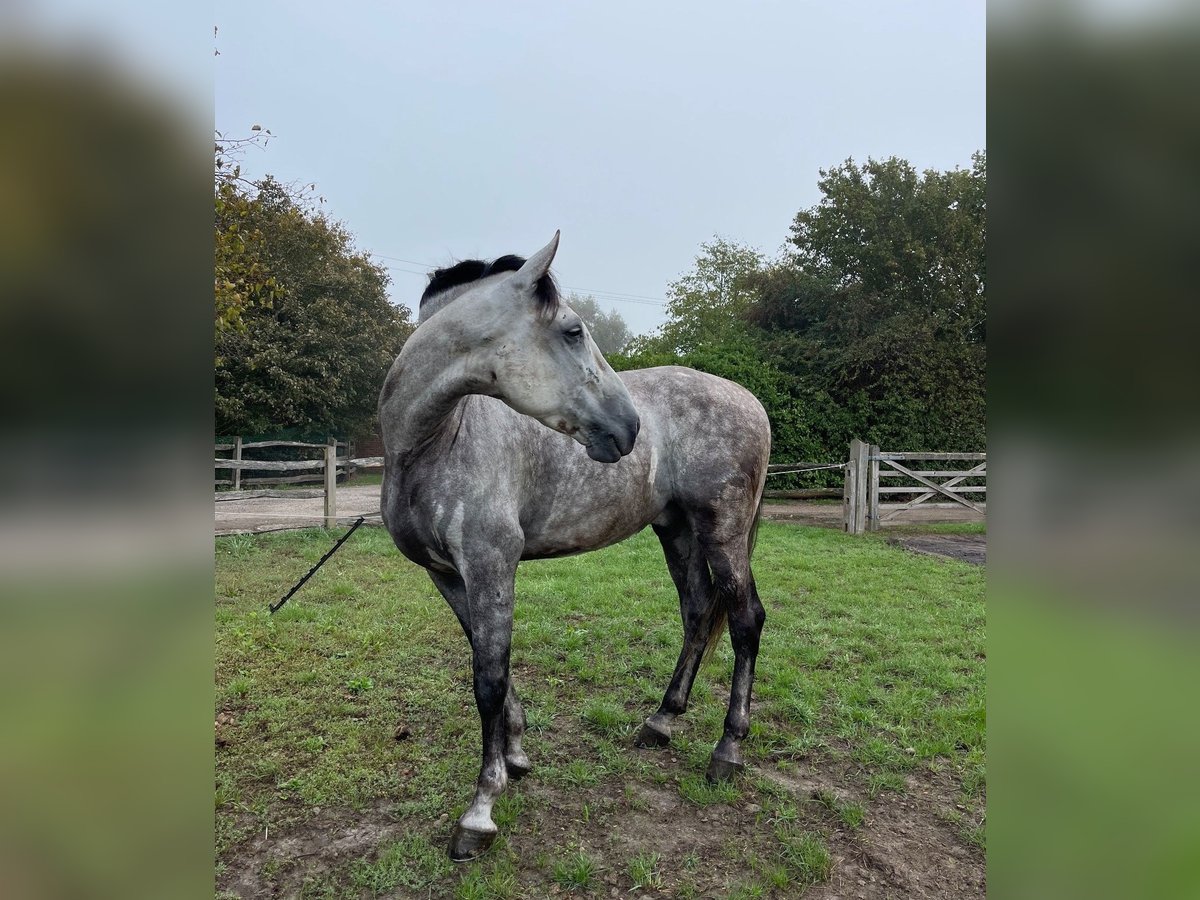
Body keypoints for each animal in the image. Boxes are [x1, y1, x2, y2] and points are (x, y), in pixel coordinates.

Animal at [379, 232, 771, 861]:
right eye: (572, 330)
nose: (629, 427)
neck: (435, 442)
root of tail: (748, 398)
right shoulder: (449, 574)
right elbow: (490, 663)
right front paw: (515, 756)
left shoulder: (491, 565)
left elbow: (488, 680)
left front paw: (480, 811)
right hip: (678, 531)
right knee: (696, 613)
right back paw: (661, 722)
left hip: (723, 530)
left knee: (744, 620)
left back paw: (727, 751)